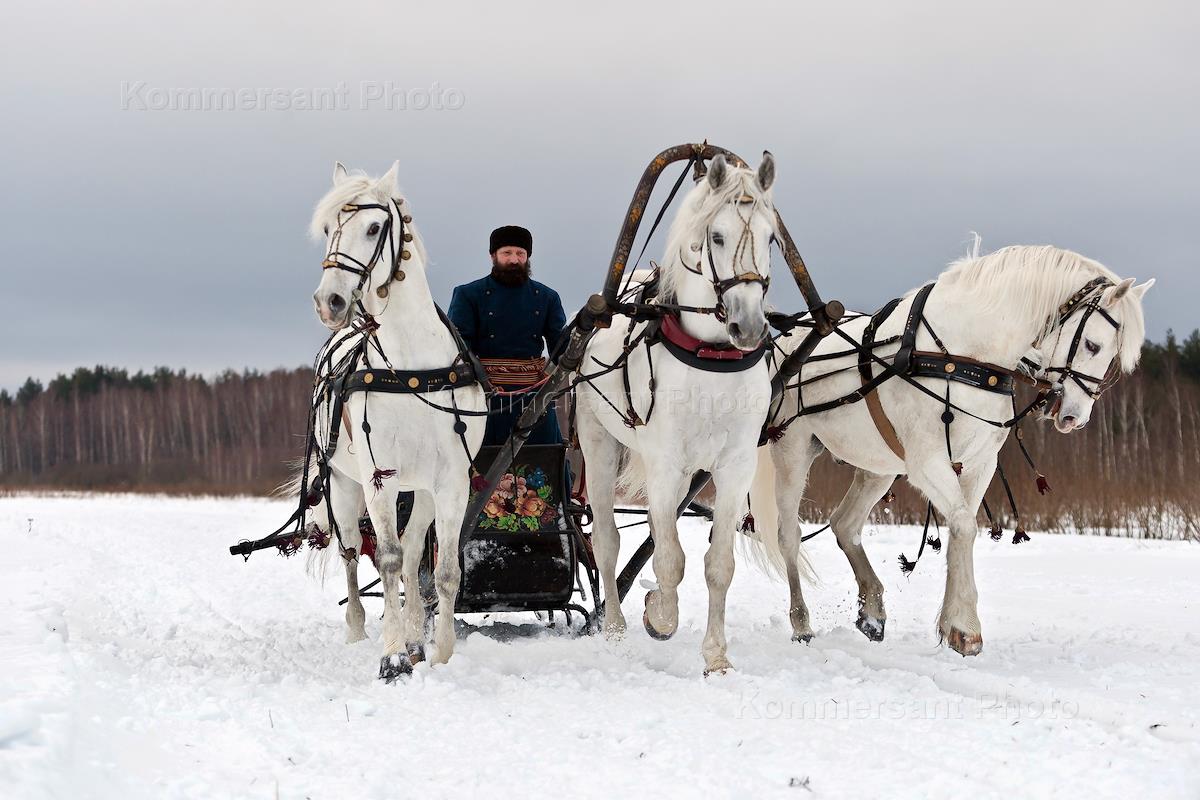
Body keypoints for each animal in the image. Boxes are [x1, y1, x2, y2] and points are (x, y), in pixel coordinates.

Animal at [307, 164, 484, 681]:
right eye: (328, 229)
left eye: (372, 227)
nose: (330, 301)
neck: (411, 370)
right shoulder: (379, 478)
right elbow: (384, 558)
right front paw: (391, 655)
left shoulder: (450, 482)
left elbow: (442, 570)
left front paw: (437, 651)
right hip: (343, 485)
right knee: (350, 551)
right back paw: (357, 629)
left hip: (420, 490)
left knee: (412, 555)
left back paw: (414, 636)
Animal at [578, 151, 782, 676]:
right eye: (717, 236)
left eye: (771, 238)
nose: (749, 326)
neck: (710, 355)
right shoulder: (665, 463)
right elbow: (669, 559)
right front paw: (661, 616)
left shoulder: (734, 467)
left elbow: (718, 564)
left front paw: (716, 656)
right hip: (598, 442)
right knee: (607, 541)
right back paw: (614, 628)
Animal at [748, 245, 1152, 657]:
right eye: (1092, 345)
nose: (1075, 417)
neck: (967, 354)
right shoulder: (927, 461)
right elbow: (963, 525)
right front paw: (965, 626)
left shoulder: (980, 462)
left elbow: (964, 527)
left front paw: (955, 626)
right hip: (792, 451)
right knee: (788, 535)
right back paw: (801, 623)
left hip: (878, 464)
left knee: (845, 523)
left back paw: (872, 610)